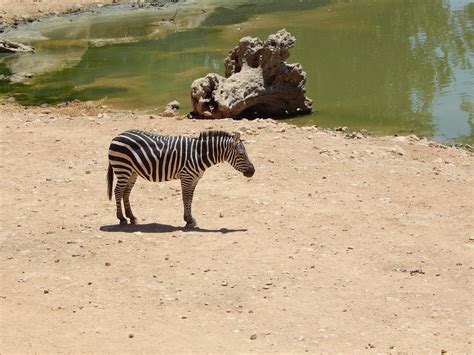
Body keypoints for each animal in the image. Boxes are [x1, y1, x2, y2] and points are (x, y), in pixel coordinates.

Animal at [108, 130, 256, 228]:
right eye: (241, 154)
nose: (253, 171)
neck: (199, 154)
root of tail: (118, 135)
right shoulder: (186, 176)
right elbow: (185, 198)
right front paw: (188, 220)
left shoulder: (195, 178)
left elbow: (190, 198)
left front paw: (190, 219)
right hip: (123, 168)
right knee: (118, 191)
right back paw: (121, 219)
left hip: (132, 172)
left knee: (125, 193)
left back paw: (132, 217)